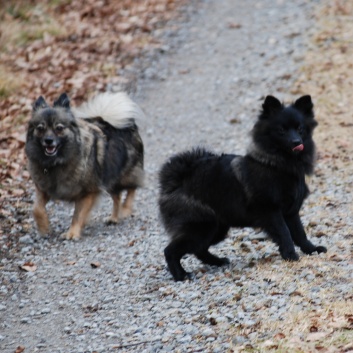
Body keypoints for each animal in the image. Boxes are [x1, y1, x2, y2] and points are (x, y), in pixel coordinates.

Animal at [158, 94, 326, 280]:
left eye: (300, 129)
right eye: (281, 130)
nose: (296, 141)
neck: (278, 166)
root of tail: (175, 181)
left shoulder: (291, 212)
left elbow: (299, 233)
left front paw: (311, 249)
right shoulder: (271, 212)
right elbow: (285, 233)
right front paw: (290, 254)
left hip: (217, 229)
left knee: (199, 249)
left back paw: (217, 261)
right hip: (202, 228)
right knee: (171, 250)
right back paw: (181, 275)